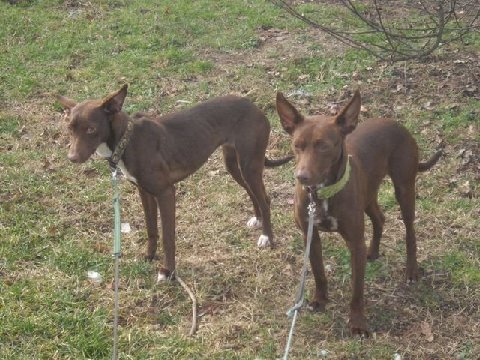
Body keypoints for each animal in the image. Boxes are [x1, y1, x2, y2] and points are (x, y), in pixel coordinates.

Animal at [57, 86, 288, 280]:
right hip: (234, 164)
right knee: (252, 192)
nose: (72, 158)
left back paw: (267, 237)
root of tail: (255, 107)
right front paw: (149, 256)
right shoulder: (145, 192)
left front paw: (168, 272)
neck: (127, 140)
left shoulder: (166, 193)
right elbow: (151, 229)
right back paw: (257, 220)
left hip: (249, 165)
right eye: (69, 128)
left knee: (265, 199)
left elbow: (168, 237)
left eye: (91, 129)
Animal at [276, 89, 440, 334]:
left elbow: (357, 289)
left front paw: (357, 323)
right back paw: (373, 251)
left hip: (404, 188)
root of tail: (395, 123)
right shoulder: (310, 236)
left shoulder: (354, 243)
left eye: (324, 146)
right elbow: (319, 272)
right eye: (297, 145)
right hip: (368, 194)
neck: (322, 193)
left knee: (409, 230)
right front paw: (320, 301)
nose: (302, 177)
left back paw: (411, 270)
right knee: (380, 218)